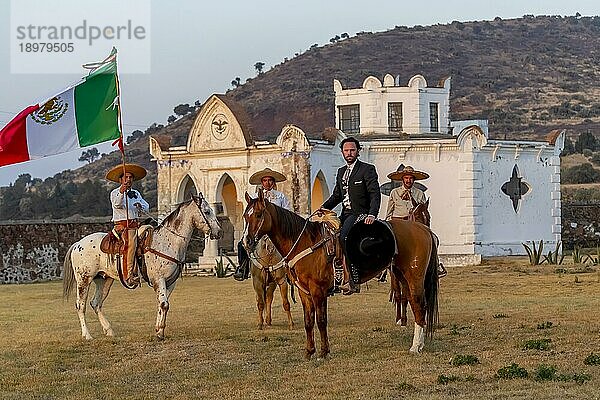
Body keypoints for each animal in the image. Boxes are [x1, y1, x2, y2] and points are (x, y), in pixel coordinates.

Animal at [63, 195, 223, 340]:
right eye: (207, 211)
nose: (219, 231)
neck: (168, 242)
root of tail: (77, 244)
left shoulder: (170, 282)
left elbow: (162, 304)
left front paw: (159, 330)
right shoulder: (159, 280)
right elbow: (164, 304)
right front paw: (159, 333)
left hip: (104, 280)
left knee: (96, 303)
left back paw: (109, 331)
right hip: (84, 280)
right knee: (80, 305)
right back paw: (87, 335)